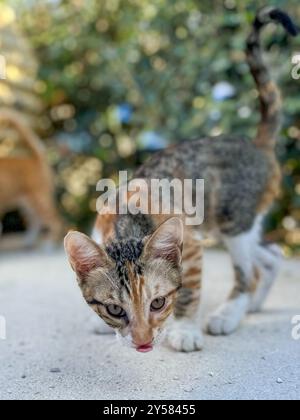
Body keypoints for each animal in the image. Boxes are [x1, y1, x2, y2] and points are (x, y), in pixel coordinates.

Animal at [0, 107, 61, 249]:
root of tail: (36, 158)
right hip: (27, 204)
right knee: (35, 221)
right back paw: (29, 241)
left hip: (39, 200)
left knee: (55, 221)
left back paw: (49, 244)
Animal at [65, 8, 298, 352]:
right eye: (114, 310)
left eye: (158, 302)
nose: (144, 343)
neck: (127, 223)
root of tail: (256, 144)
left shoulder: (190, 246)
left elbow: (188, 288)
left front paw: (185, 329)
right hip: (229, 222)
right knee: (271, 254)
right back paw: (254, 304)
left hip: (232, 220)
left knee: (248, 271)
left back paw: (230, 313)